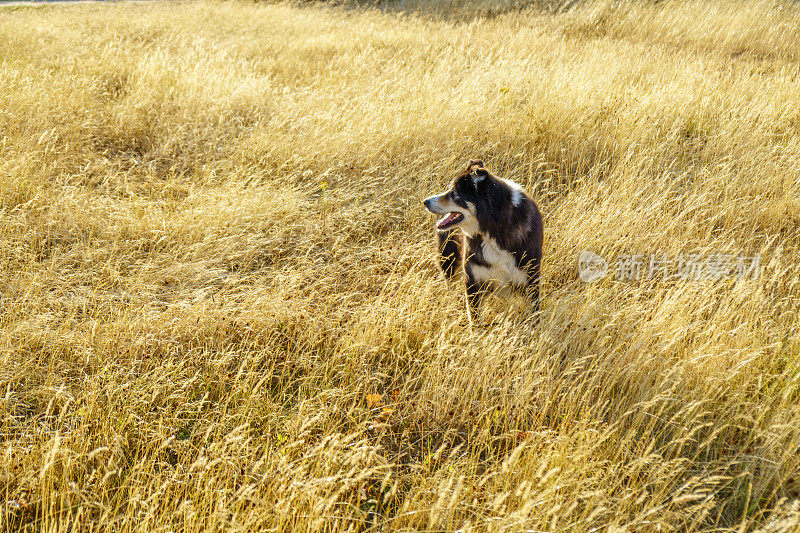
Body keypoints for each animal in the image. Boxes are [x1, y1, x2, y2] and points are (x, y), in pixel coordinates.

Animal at [422, 160, 540, 322]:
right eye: (449, 190)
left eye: (454, 194)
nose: (425, 202)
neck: (493, 231)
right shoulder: (472, 281)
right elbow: (475, 321)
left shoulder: (531, 279)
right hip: (449, 260)